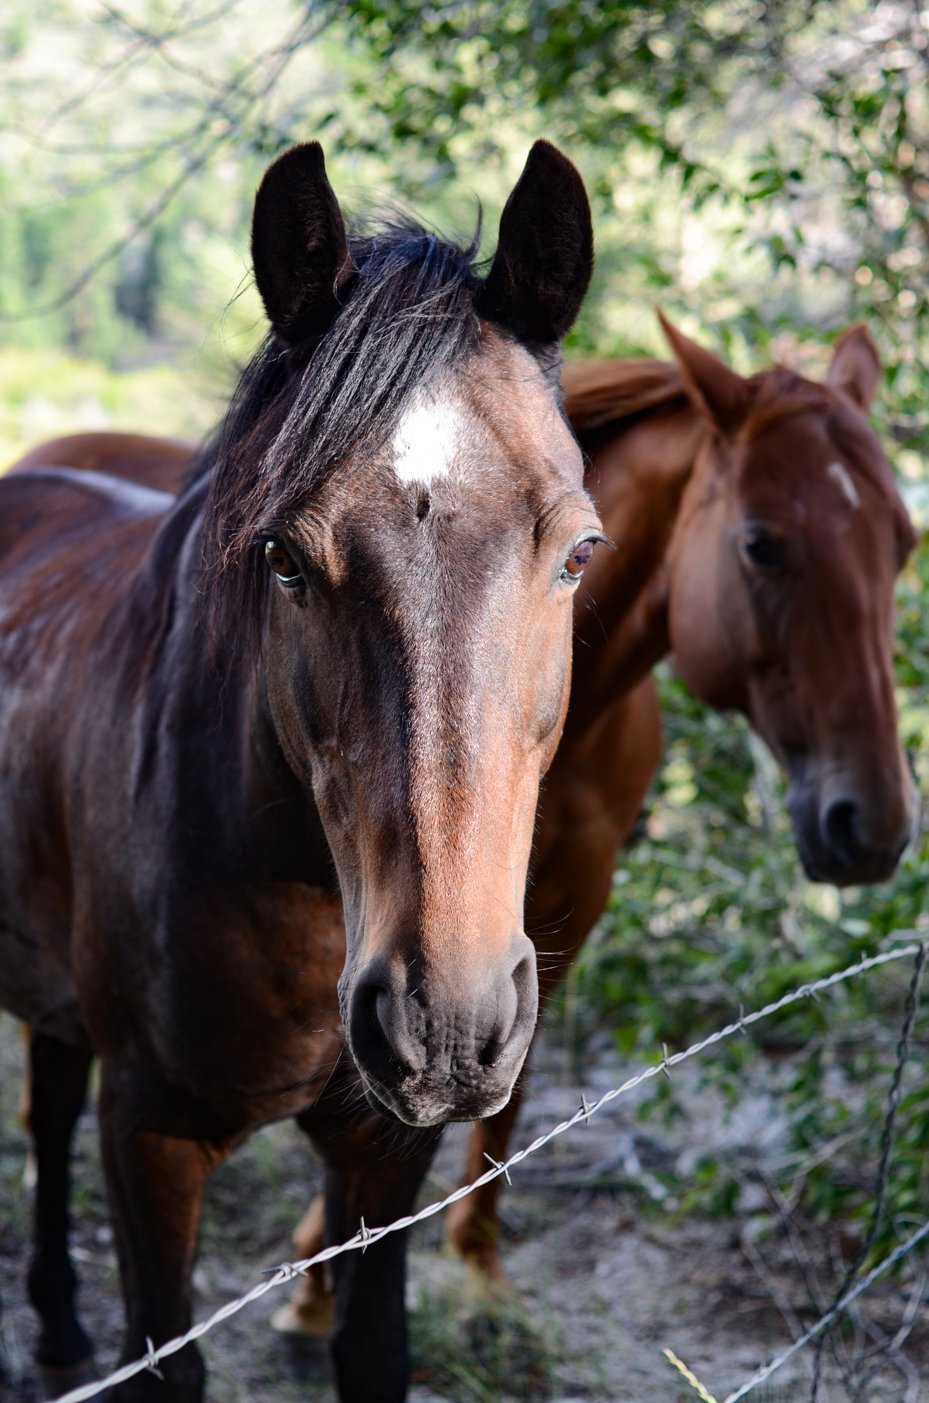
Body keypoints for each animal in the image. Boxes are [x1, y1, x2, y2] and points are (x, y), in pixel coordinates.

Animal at [0, 133, 600, 1403]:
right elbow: (165, 1354)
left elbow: (371, 1347)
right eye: (281, 555)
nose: (442, 1017)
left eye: (579, 551)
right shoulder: (151, 1139)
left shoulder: (388, 1149)